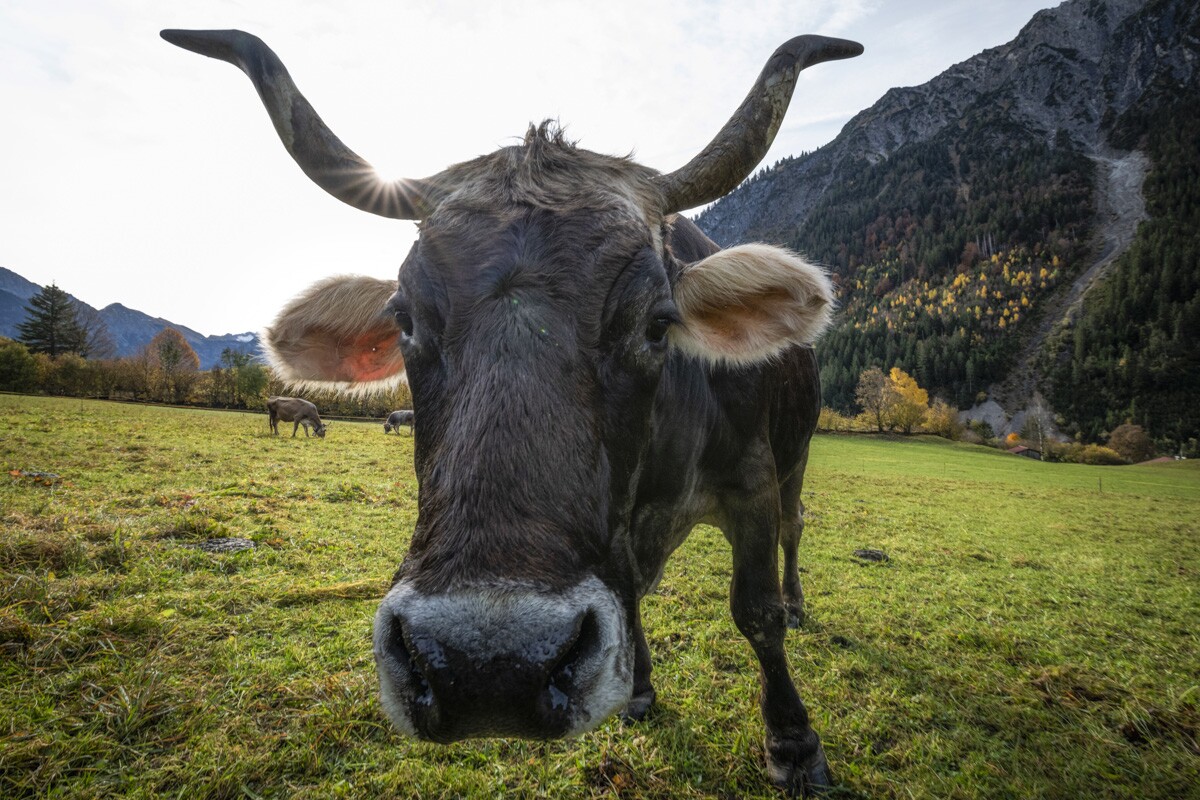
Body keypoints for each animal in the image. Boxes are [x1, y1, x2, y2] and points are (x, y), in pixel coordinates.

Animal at [162, 28, 862, 795]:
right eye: (404, 319)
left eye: (657, 323)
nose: (486, 666)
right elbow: (634, 598)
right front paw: (639, 690)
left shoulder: (751, 481)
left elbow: (756, 613)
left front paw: (794, 743)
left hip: (795, 459)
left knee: (794, 535)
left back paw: (798, 605)